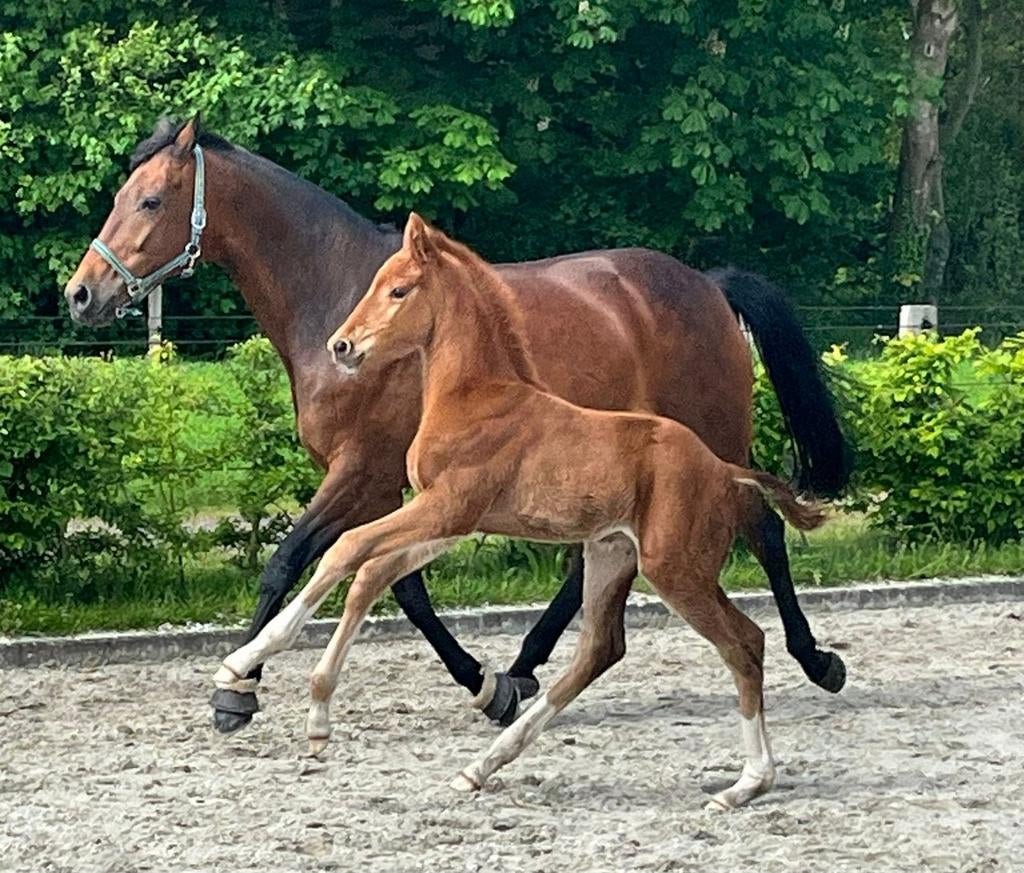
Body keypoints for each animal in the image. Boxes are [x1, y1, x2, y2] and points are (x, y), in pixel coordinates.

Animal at [64, 116, 850, 731]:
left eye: (151, 199)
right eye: (120, 196)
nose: (80, 295)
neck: (338, 298)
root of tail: (706, 285)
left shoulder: (361, 470)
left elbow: (287, 561)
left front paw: (236, 690)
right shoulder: (387, 485)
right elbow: (400, 585)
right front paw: (486, 685)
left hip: (710, 439)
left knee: (765, 528)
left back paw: (817, 659)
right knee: (589, 566)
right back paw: (526, 664)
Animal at [215, 214, 828, 808]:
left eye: (398, 289)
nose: (341, 345)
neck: (476, 395)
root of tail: (723, 470)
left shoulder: (443, 505)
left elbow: (348, 553)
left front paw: (257, 679)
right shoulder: (449, 520)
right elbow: (377, 573)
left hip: (676, 566)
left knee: (744, 640)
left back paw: (750, 778)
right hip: (612, 552)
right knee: (600, 649)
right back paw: (483, 764)